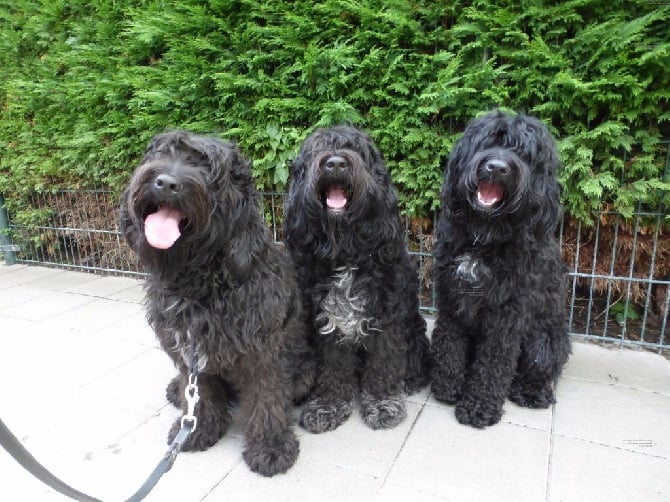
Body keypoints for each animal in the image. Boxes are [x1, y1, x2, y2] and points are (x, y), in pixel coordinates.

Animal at [120, 129, 316, 474]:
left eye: (206, 167)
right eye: (161, 153)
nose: (166, 183)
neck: (199, 283)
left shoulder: (263, 352)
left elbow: (267, 397)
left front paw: (270, 447)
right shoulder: (188, 351)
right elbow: (200, 394)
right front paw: (198, 429)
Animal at [284, 124, 430, 432]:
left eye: (356, 149)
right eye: (318, 148)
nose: (336, 163)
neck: (345, 251)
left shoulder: (386, 317)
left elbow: (383, 364)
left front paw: (383, 403)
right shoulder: (326, 321)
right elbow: (333, 368)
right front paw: (327, 405)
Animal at [430, 110, 572, 428]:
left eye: (524, 153)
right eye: (488, 141)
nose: (496, 168)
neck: (484, 237)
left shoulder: (506, 315)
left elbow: (494, 363)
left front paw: (479, 406)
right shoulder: (452, 298)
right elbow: (449, 343)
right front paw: (448, 386)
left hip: (545, 341)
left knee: (538, 369)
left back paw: (531, 392)